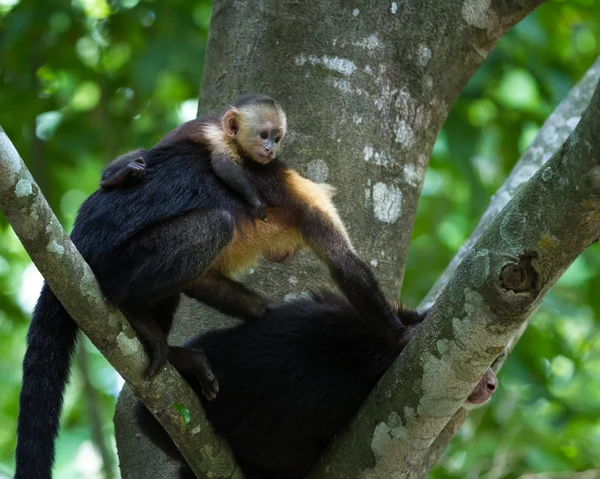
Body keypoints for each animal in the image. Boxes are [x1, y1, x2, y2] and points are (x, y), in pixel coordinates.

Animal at [98, 94, 286, 223]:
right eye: (263, 135)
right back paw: (112, 178)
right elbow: (223, 165)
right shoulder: (217, 137)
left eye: (277, 139)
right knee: (141, 155)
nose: (270, 149)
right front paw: (257, 201)